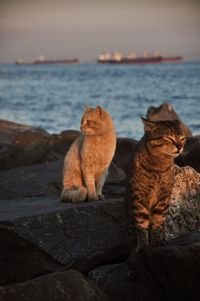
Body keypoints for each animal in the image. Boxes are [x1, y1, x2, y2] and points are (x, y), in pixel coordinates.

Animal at [126, 118, 186, 262]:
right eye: (169, 138)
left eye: (182, 138)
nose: (180, 146)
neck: (158, 165)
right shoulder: (138, 197)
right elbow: (141, 225)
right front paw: (142, 247)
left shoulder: (164, 197)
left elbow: (158, 222)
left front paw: (157, 242)